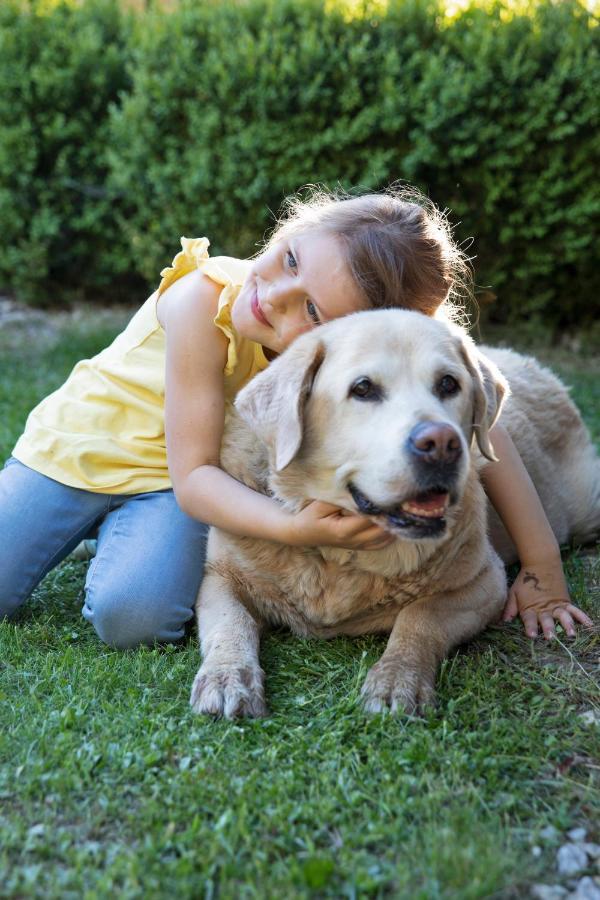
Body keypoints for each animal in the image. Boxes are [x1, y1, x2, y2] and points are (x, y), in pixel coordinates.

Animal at [189, 310, 600, 716]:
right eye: (363, 389)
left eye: (448, 384)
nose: (441, 443)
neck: (339, 562)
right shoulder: (220, 577)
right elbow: (232, 623)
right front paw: (228, 677)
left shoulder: (485, 583)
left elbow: (419, 617)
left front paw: (398, 678)